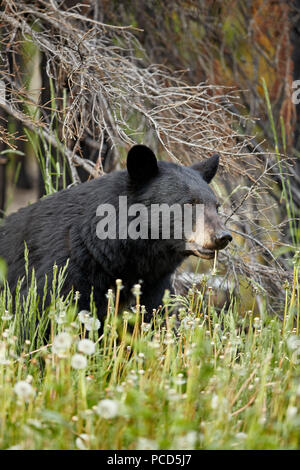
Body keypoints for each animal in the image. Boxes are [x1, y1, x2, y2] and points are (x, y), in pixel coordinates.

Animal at [0, 145, 232, 322]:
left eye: (216, 206)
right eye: (189, 203)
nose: (223, 236)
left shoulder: (153, 285)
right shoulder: (60, 272)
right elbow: (36, 316)